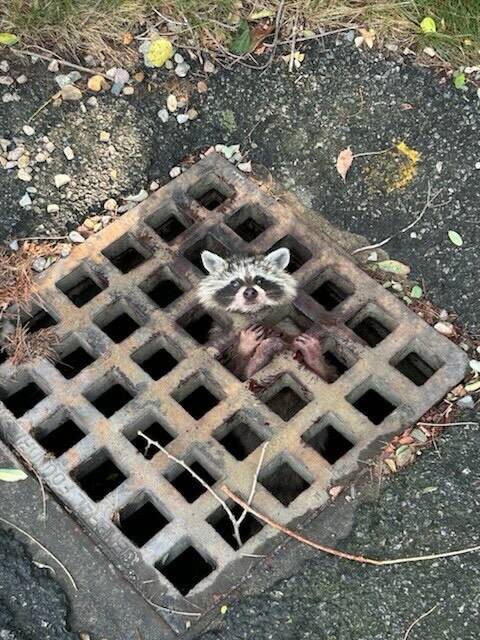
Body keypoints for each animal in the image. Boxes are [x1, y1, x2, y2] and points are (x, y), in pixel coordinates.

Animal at [198, 248, 337, 382]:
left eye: (260, 280)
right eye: (235, 283)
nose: (250, 292)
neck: (254, 311)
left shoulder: (286, 321)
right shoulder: (218, 331)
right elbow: (237, 372)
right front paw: (245, 348)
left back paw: (314, 359)